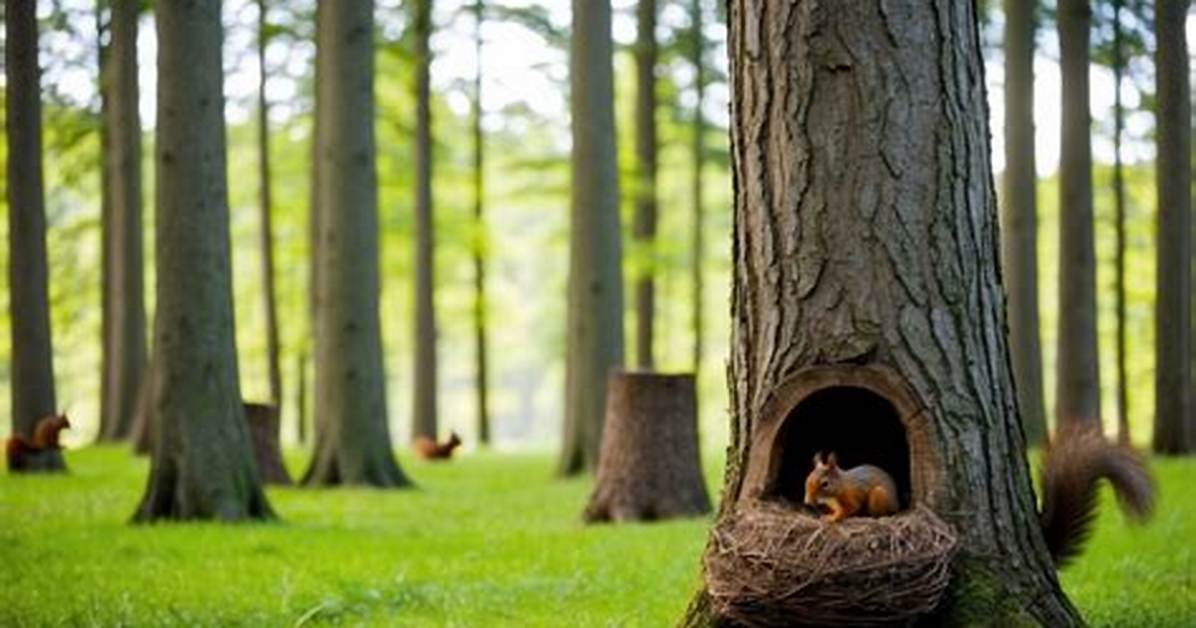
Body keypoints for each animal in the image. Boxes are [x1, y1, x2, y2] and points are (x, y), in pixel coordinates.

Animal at [805, 424, 1155, 567]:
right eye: (806, 480)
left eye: (823, 483)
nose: (807, 502)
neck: (840, 484)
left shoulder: (853, 495)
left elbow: (849, 509)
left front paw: (832, 517)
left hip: (879, 498)